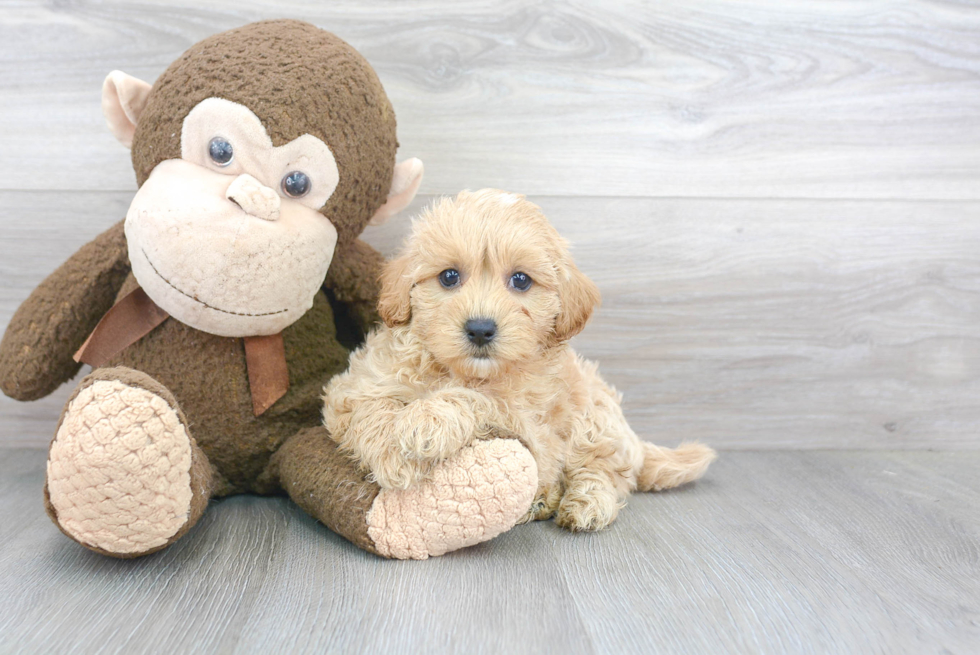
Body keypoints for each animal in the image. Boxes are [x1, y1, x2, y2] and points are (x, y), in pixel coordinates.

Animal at [326, 191, 716, 532]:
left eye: (521, 280)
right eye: (449, 276)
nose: (480, 329)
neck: (461, 370)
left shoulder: (531, 425)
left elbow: (480, 397)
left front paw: (427, 419)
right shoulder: (352, 388)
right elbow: (370, 410)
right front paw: (396, 456)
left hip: (595, 417)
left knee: (605, 471)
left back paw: (586, 504)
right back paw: (542, 501)